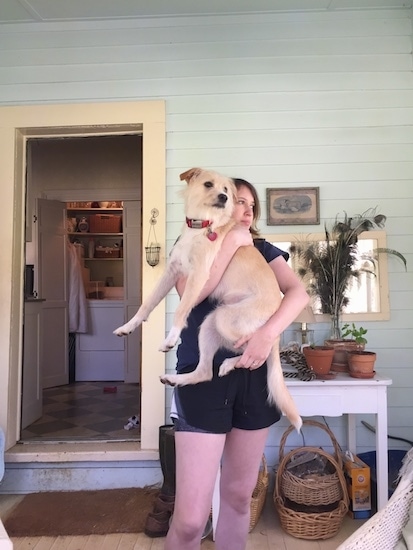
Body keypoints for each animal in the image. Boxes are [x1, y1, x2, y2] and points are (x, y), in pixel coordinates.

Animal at [114, 166, 300, 434]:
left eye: (226, 191)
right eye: (209, 185)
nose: (223, 198)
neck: (201, 226)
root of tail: (275, 330)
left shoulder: (199, 275)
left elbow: (181, 310)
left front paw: (170, 339)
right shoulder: (173, 272)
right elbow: (147, 303)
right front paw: (128, 326)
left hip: (226, 320)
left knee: (255, 351)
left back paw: (231, 363)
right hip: (210, 325)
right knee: (205, 373)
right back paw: (176, 378)